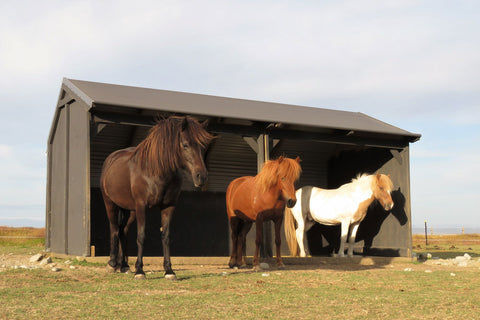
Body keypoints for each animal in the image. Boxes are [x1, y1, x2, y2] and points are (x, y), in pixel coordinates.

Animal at [100, 115, 213, 280]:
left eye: (202, 146)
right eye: (185, 144)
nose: (202, 177)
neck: (156, 171)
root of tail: (111, 159)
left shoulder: (168, 206)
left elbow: (166, 236)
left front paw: (169, 271)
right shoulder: (141, 206)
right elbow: (141, 236)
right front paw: (140, 271)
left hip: (131, 210)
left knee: (123, 231)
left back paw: (124, 266)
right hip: (111, 204)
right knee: (114, 229)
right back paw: (112, 264)